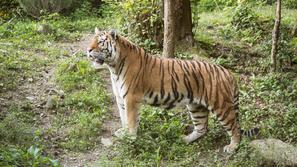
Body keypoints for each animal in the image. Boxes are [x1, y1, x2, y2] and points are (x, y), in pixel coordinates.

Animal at [85, 28, 256, 153]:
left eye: (100, 42)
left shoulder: (131, 99)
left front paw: (131, 138)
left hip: (221, 105)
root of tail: (228, 72)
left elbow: (131, 120)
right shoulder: (121, 99)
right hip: (196, 106)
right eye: (91, 40)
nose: (88, 50)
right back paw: (185, 139)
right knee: (202, 128)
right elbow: (123, 118)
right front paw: (124, 132)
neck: (113, 67)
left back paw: (232, 147)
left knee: (234, 127)